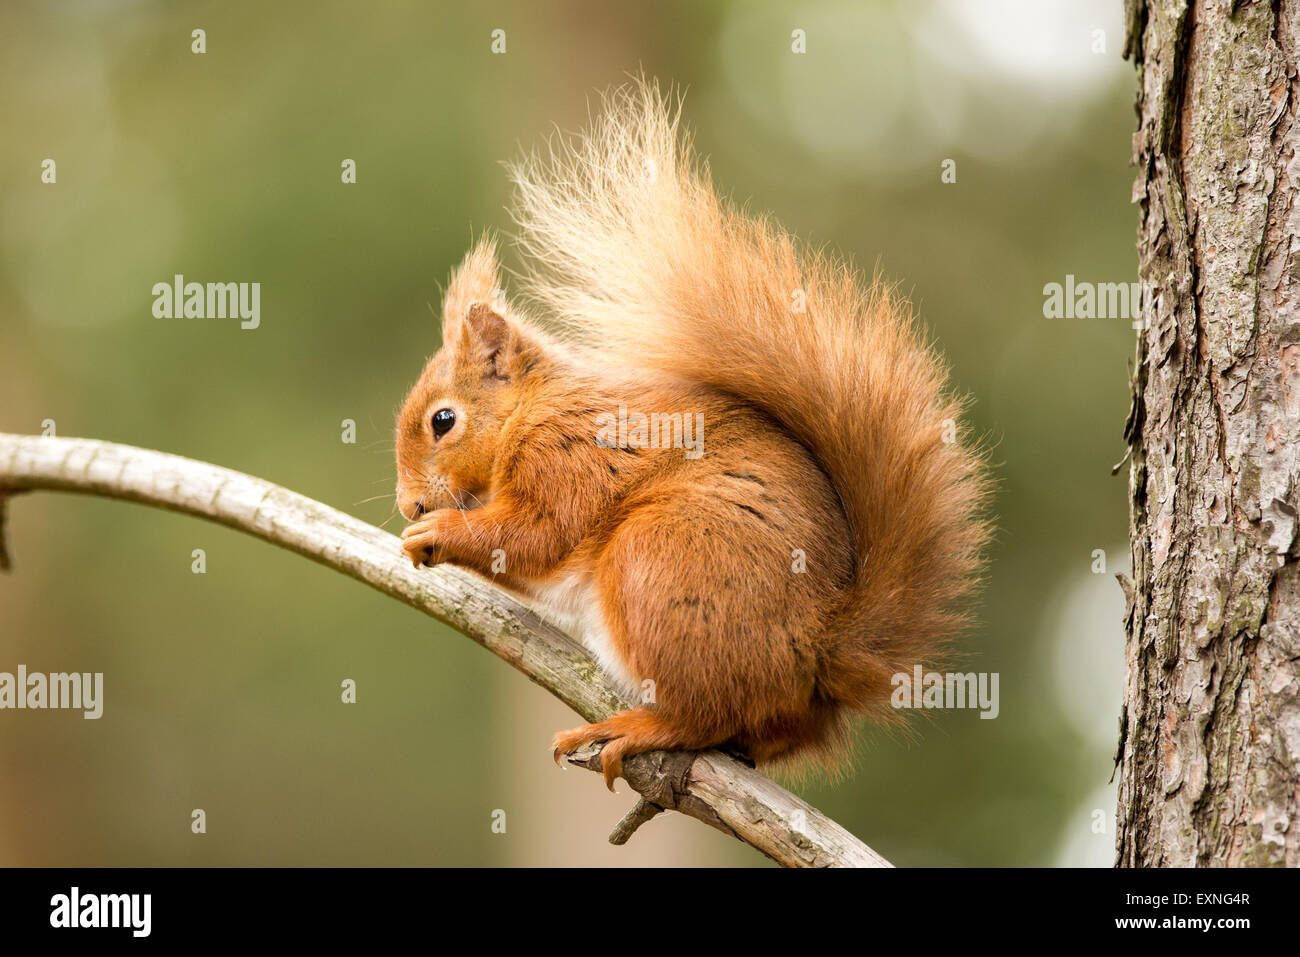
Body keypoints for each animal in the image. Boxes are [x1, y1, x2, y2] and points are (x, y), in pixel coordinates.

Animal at [390, 80, 987, 785]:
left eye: (443, 421)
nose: (409, 504)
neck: (531, 411)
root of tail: (817, 653)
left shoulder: (568, 456)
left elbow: (539, 533)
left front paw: (439, 532)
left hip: (660, 559)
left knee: (707, 713)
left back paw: (635, 728)